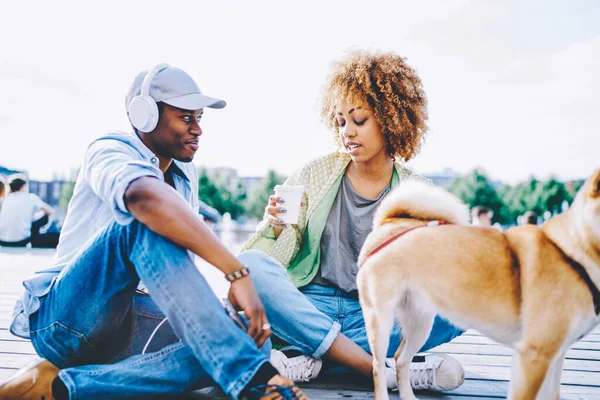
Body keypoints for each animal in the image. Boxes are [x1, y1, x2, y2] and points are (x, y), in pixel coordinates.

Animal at [356, 170, 600, 400]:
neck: (572, 253)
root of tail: (389, 222)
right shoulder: (534, 357)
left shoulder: (553, 357)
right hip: (381, 321)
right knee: (378, 366)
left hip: (419, 324)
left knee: (401, 360)